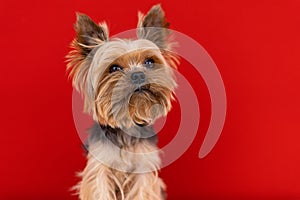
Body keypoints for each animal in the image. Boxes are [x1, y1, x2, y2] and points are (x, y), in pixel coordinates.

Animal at [66, 3, 178, 199]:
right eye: (114, 68)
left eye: (149, 62)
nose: (138, 74)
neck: (126, 125)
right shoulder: (100, 169)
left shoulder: (143, 169)